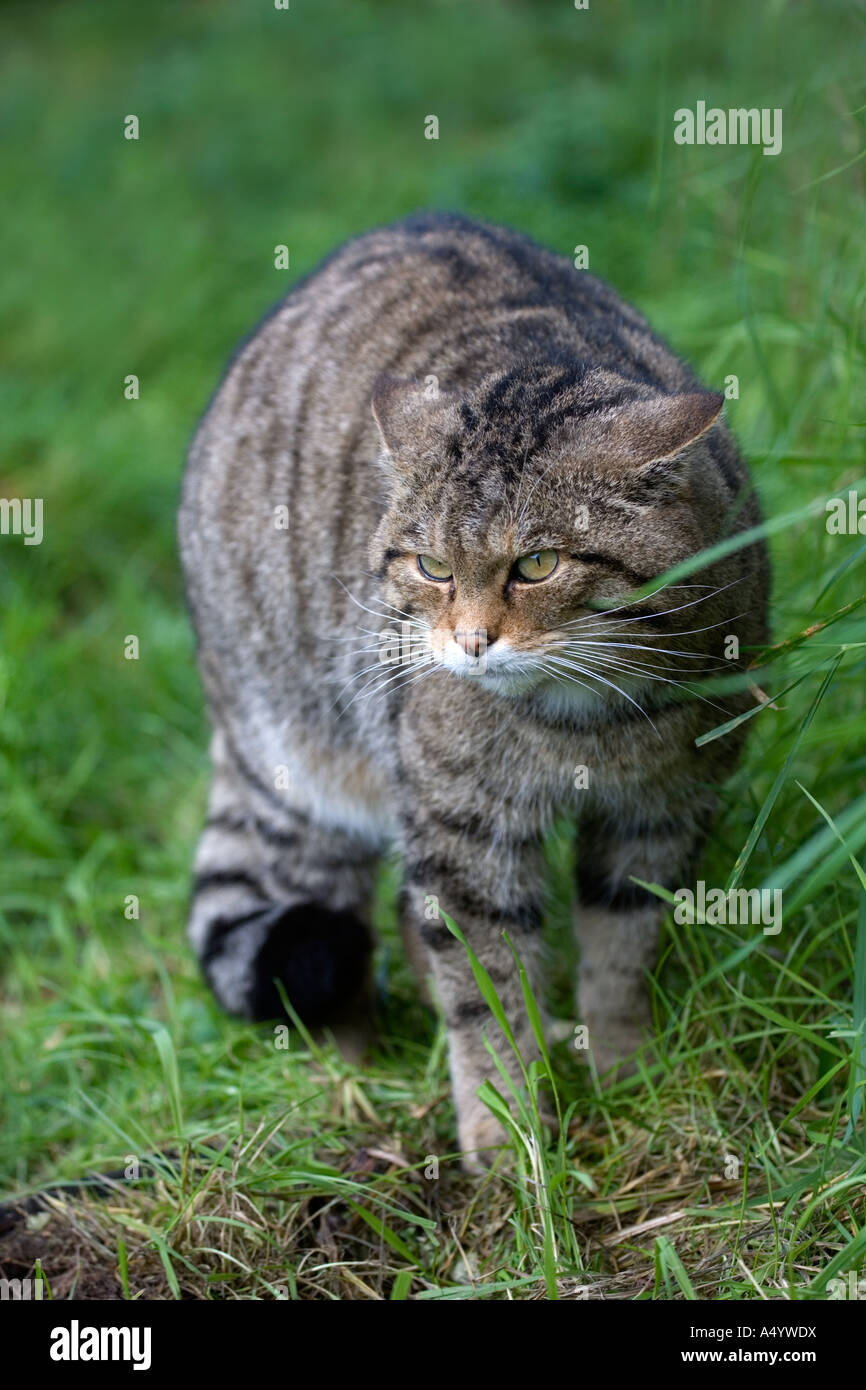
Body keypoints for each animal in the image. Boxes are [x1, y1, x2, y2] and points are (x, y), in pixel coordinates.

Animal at [179, 214, 767, 1173]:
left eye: (538, 564)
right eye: (431, 566)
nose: (470, 642)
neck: (586, 725)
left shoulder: (660, 811)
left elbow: (622, 953)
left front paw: (627, 1074)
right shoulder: (463, 828)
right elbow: (484, 991)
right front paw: (506, 1131)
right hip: (313, 770)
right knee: (339, 936)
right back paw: (352, 1079)